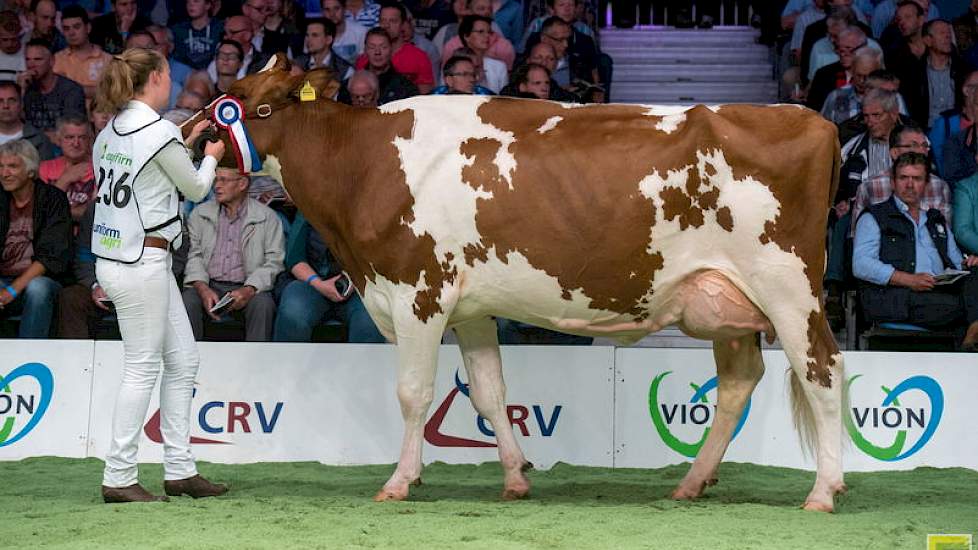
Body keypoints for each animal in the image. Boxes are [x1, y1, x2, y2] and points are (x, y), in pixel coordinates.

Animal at [185, 56, 848, 512]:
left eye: (237, 99)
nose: (191, 132)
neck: (366, 163)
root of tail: (807, 117)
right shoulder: (471, 307)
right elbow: (488, 393)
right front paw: (514, 476)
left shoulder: (418, 293)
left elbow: (412, 393)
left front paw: (399, 481)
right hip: (726, 303)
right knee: (739, 383)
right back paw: (690, 483)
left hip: (788, 289)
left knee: (823, 373)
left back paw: (824, 490)